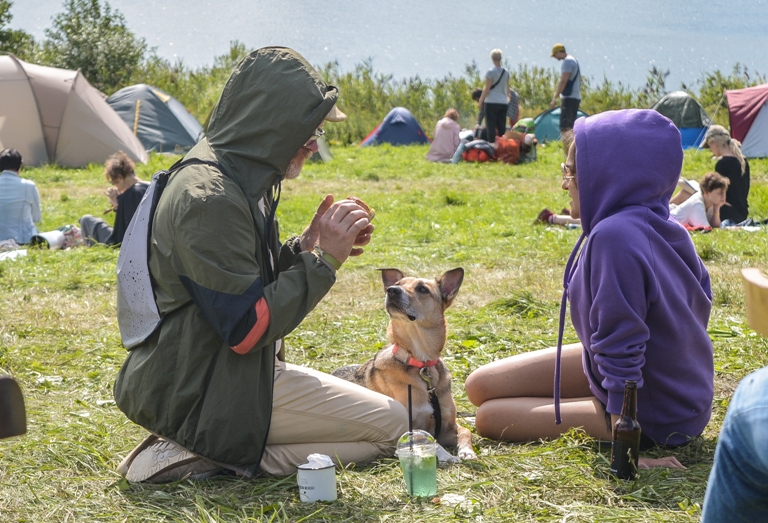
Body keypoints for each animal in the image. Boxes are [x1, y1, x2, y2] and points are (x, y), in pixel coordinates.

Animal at [334, 270, 476, 462]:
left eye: (422, 289)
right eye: (397, 284)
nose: (392, 290)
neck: (421, 363)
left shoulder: (447, 428)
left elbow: (465, 431)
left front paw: (467, 451)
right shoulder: (407, 428)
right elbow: (430, 441)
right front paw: (447, 456)